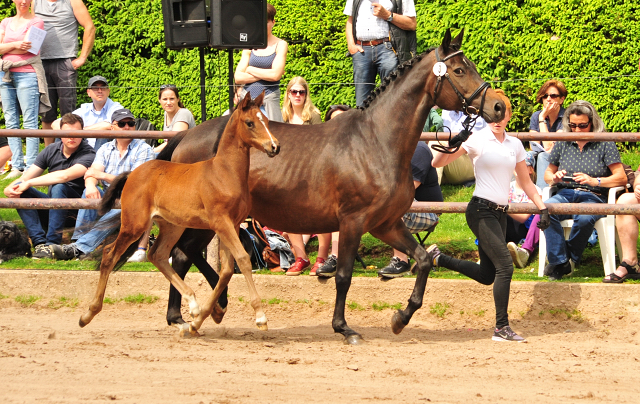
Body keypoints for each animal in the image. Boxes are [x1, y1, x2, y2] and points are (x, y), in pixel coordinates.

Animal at [79, 93, 278, 336]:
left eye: (266, 121)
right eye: (250, 123)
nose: (274, 146)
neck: (224, 172)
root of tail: (133, 173)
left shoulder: (231, 224)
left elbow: (228, 269)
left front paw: (204, 316)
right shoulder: (221, 223)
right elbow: (242, 260)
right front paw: (260, 317)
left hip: (172, 226)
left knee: (157, 255)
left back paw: (192, 305)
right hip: (135, 224)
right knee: (109, 255)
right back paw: (88, 315)